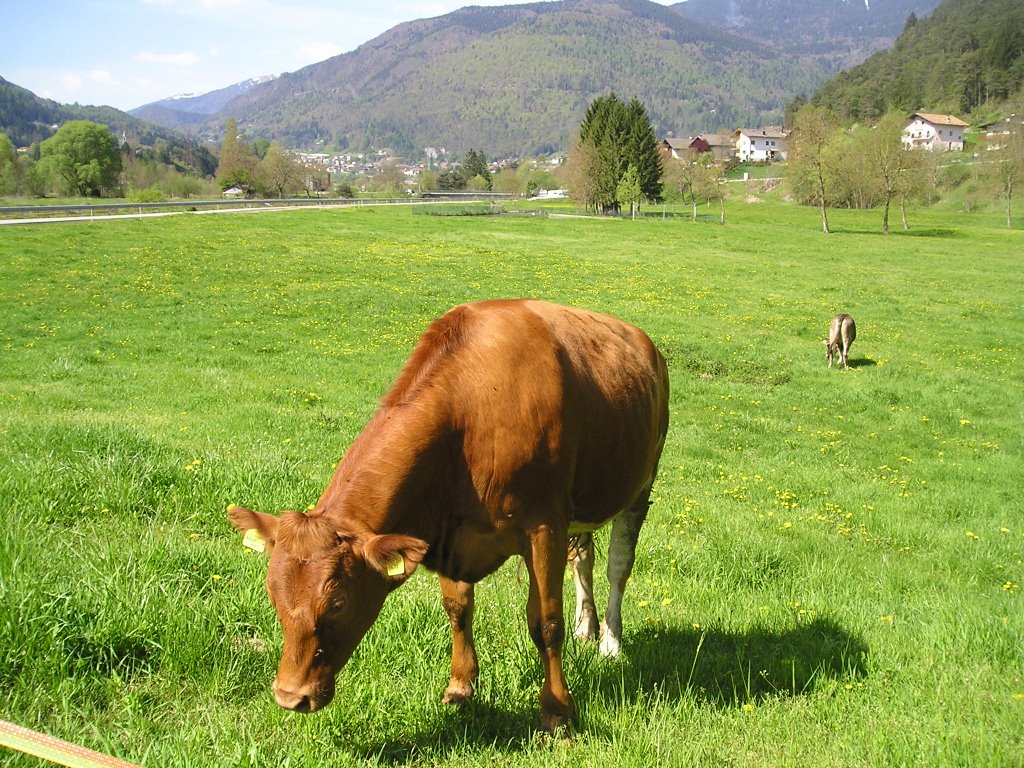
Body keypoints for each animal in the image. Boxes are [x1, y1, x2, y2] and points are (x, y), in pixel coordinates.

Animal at [227, 299, 667, 733]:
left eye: (336, 603)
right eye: (272, 594)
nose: (290, 696)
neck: (472, 413)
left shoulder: (545, 525)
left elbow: (545, 622)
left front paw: (557, 710)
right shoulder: (447, 530)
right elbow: (457, 609)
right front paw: (460, 686)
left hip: (640, 486)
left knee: (618, 567)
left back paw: (610, 639)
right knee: (584, 558)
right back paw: (586, 627)